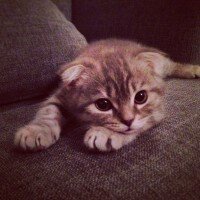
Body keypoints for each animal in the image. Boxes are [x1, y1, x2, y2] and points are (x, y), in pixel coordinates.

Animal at [14, 39, 200, 152]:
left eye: (141, 97)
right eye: (103, 105)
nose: (128, 120)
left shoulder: (156, 111)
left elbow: (138, 126)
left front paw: (106, 133)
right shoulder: (62, 94)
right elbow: (48, 111)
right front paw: (37, 130)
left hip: (164, 65)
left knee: (172, 64)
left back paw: (193, 69)